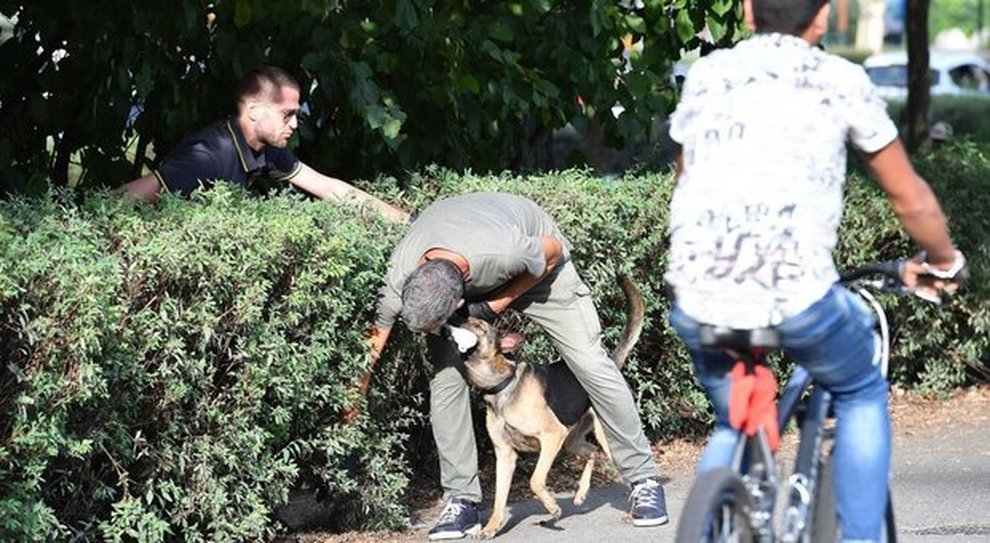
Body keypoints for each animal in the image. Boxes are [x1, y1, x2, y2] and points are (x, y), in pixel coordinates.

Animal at [446, 276, 648, 540]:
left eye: (479, 326)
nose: (452, 317)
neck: (502, 385)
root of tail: (611, 364)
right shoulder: (505, 454)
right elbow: (499, 499)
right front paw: (491, 527)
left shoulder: (551, 437)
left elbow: (535, 480)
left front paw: (552, 507)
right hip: (572, 441)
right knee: (592, 452)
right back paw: (581, 493)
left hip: (606, 439)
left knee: (626, 468)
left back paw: (636, 511)